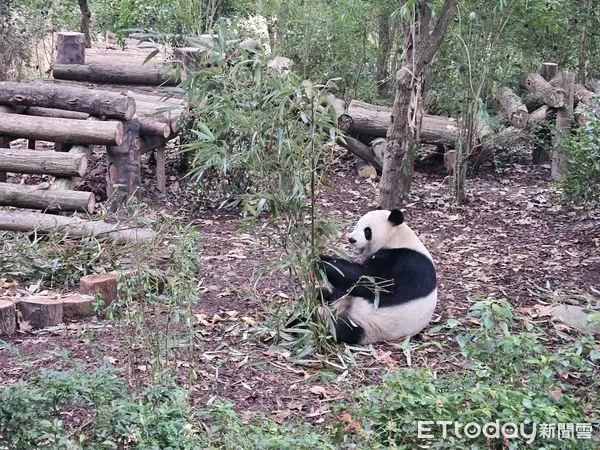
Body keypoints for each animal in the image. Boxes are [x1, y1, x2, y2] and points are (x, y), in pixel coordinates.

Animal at [318, 208, 436, 344]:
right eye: (357, 225)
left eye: (367, 231)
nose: (351, 239)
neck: (396, 238)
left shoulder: (406, 263)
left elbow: (368, 280)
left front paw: (320, 260)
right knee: (330, 295)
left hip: (369, 324)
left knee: (339, 329)